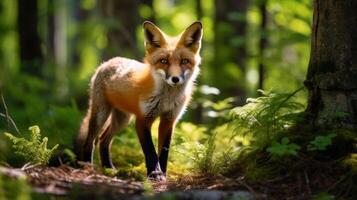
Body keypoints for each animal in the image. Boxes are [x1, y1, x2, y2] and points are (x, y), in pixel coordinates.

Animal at [74, 21, 203, 180]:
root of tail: (107, 62)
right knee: (90, 142)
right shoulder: (143, 119)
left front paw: (163, 174)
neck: (166, 99)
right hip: (101, 115)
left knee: (104, 140)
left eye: (184, 61)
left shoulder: (169, 120)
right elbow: (150, 151)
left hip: (122, 119)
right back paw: (88, 167)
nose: (175, 79)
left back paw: (109, 169)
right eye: (164, 61)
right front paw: (155, 174)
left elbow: (164, 151)